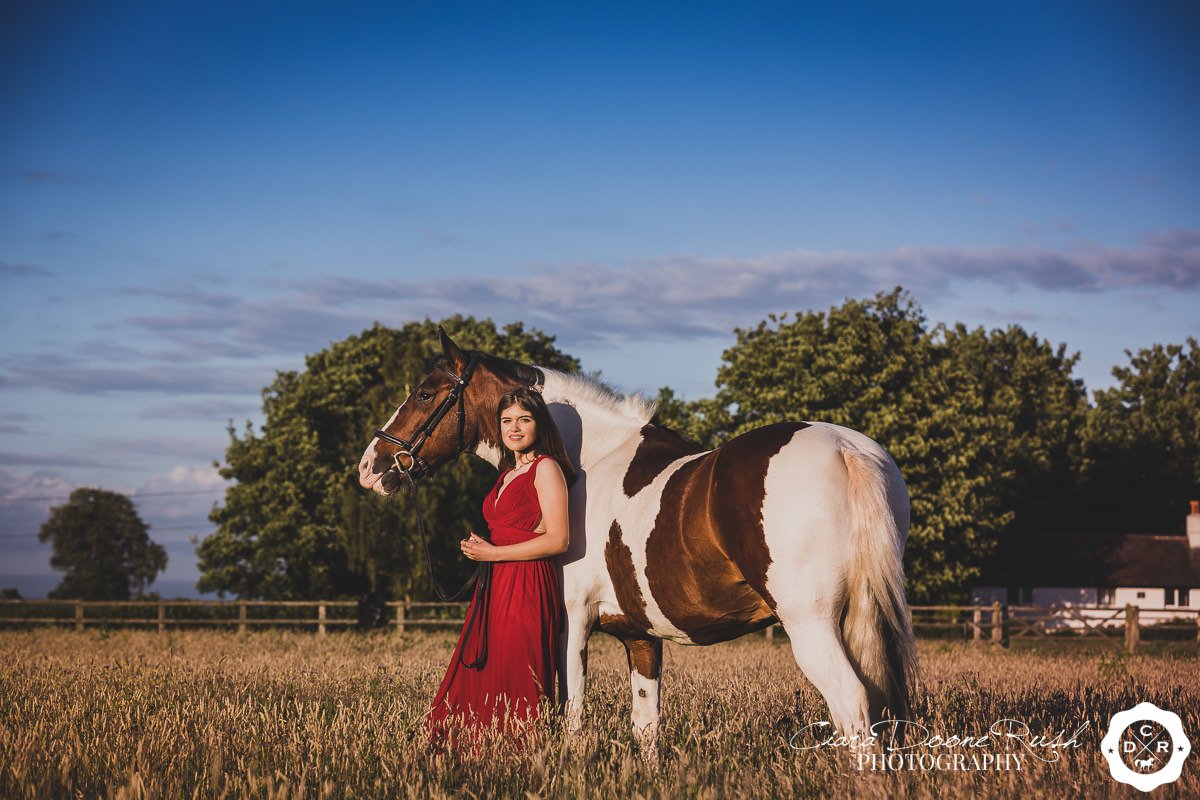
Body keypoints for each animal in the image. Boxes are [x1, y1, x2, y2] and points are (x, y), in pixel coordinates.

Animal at [355, 326, 916, 753]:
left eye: (425, 393)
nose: (370, 467)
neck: (587, 461)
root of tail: (845, 447)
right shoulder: (641, 637)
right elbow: (646, 726)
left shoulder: (572, 622)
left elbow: (573, 715)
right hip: (863, 617)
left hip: (811, 624)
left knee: (852, 704)